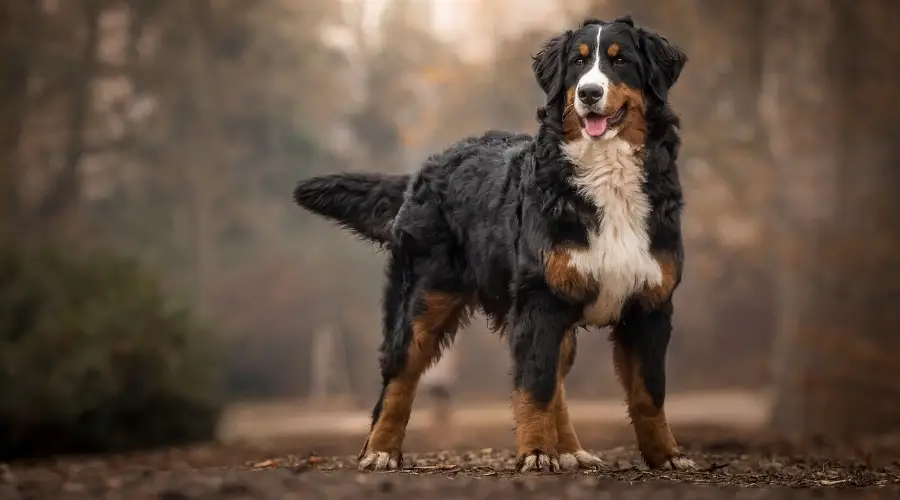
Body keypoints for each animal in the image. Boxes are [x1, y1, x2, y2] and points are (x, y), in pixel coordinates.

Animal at [294, 14, 688, 472]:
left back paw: (570, 449)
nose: (589, 93)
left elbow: (649, 393)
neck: (606, 174)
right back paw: (380, 450)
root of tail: (426, 168)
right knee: (399, 378)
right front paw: (535, 453)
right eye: (577, 63)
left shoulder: (649, 303)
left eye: (620, 60)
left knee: (557, 381)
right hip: (422, 300)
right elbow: (534, 386)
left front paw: (667, 456)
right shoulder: (539, 301)